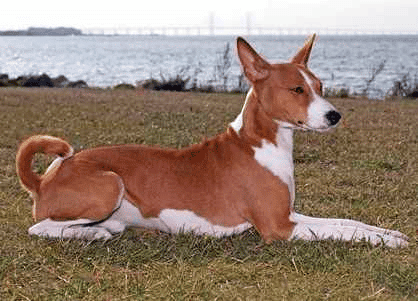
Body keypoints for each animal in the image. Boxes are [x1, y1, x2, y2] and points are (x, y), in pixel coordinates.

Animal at [15, 35, 408, 246]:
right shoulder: (279, 226)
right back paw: (91, 235)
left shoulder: (290, 213)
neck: (263, 145)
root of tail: (43, 178)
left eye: (320, 87)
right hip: (111, 183)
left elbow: (349, 223)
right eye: (297, 89)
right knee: (38, 227)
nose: (334, 116)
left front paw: (388, 233)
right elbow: (343, 231)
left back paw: (100, 229)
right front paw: (385, 241)